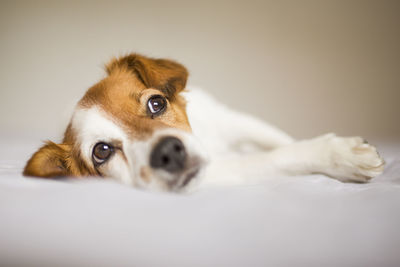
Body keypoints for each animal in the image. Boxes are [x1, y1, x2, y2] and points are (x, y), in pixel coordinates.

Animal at [23, 54, 386, 193]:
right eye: (102, 152)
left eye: (157, 103)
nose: (169, 152)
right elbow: (281, 156)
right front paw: (339, 156)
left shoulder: (235, 121)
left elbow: (282, 140)